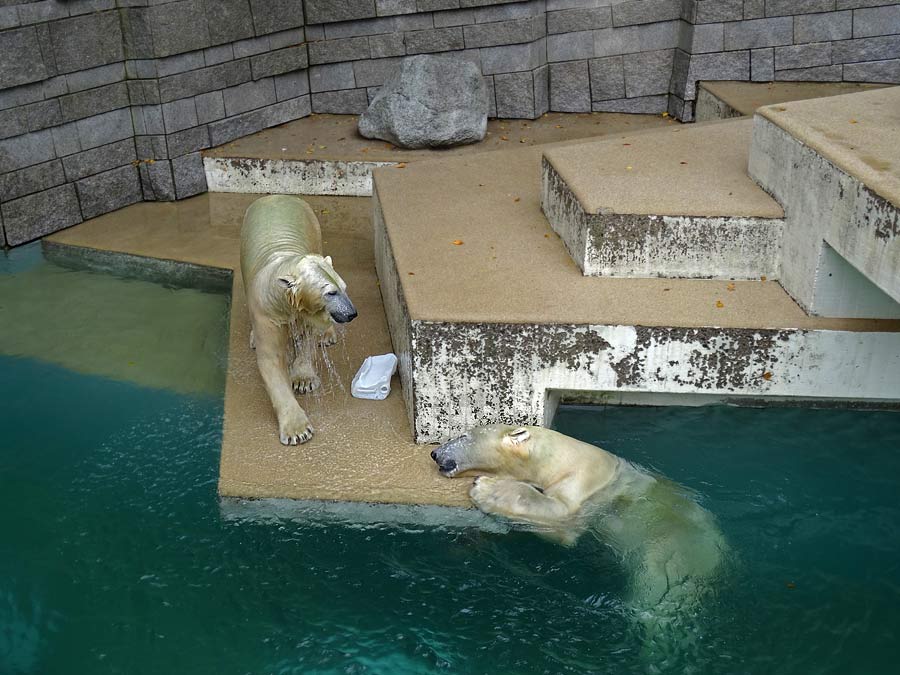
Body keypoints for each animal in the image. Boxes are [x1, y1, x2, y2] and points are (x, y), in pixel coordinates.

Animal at [244, 195, 360, 446]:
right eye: (330, 293)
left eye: (344, 288)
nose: (351, 313)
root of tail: (276, 196)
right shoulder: (267, 312)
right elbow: (271, 358)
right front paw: (297, 430)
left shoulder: (305, 311)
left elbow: (306, 338)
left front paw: (304, 380)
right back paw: (253, 338)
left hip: (313, 228)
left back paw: (327, 336)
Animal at [432, 426, 728, 620]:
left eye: (463, 435)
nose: (435, 453)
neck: (564, 458)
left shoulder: (582, 483)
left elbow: (561, 517)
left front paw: (486, 487)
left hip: (670, 556)